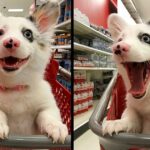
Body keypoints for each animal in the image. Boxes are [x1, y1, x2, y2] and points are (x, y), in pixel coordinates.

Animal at [0, 0, 68, 144]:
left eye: (28, 34)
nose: (11, 42)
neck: (14, 87)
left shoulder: (48, 106)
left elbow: (47, 115)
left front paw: (56, 126)